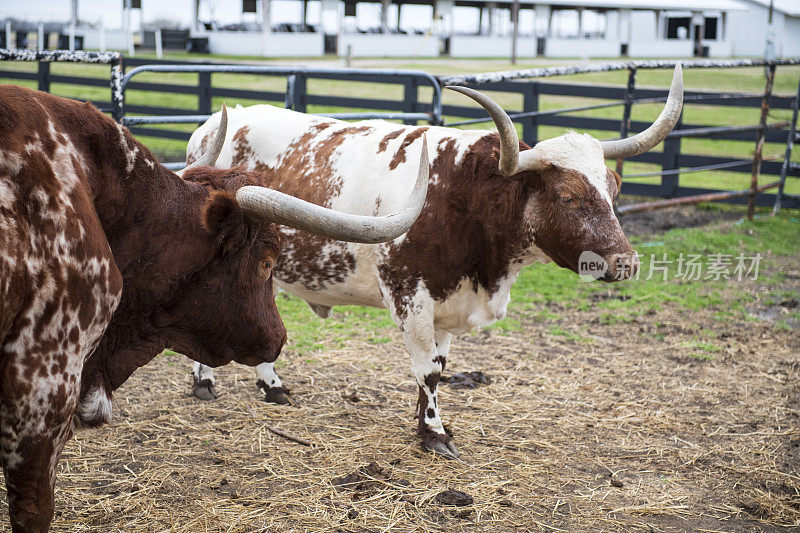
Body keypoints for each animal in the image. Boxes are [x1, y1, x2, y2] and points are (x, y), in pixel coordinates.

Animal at [186, 65, 680, 458]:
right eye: (569, 197)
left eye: (615, 188)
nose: (625, 262)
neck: (466, 195)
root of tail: (210, 127)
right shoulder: (412, 299)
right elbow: (426, 369)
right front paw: (435, 434)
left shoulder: (448, 304)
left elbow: (438, 372)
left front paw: (429, 422)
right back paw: (205, 384)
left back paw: (273, 388)